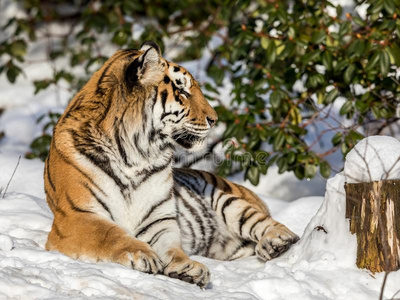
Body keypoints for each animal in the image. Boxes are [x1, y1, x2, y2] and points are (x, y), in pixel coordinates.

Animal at [44, 41, 300, 288]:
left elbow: (172, 247)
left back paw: (274, 243)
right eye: (182, 91)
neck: (135, 154)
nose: (215, 119)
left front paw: (187, 267)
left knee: (278, 227)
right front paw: (144, 255)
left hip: (229, 201)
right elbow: (111, 234)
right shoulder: (75, 216)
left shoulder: (159, 220)